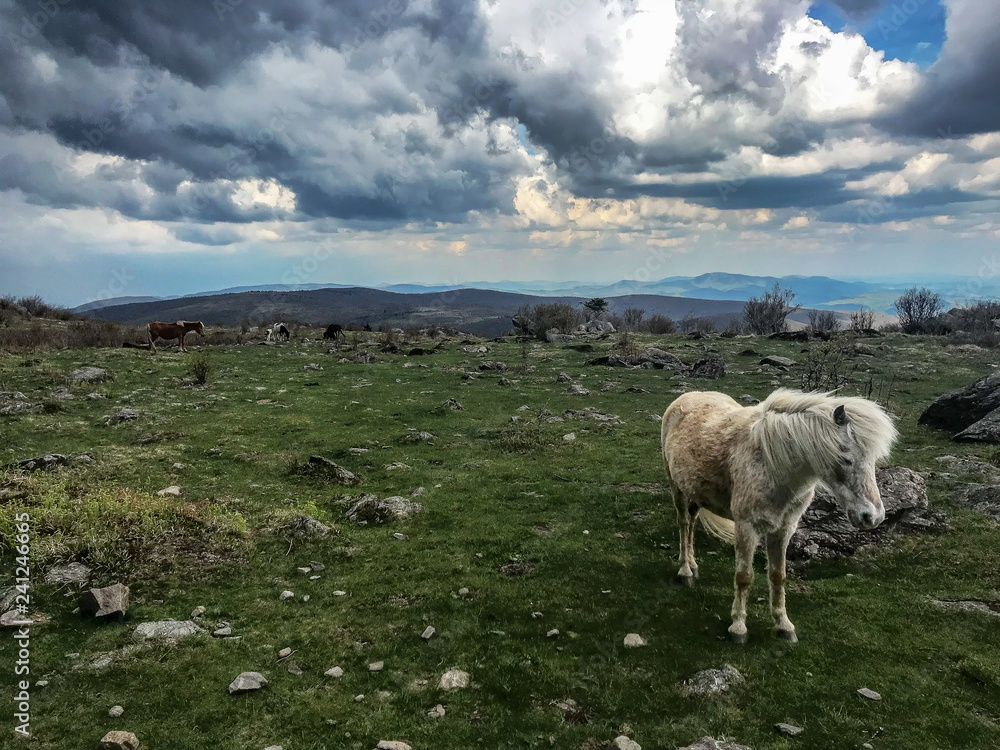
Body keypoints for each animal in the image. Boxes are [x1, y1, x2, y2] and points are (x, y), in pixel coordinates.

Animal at [661, 389, 897, 644]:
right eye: (845, 458)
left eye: (872, 460)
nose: (873, 516)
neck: (771, 465)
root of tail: (689, 396)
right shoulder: (746, 527)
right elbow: (744, 576)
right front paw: (738, 628)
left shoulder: (784, 529)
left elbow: (778, 575)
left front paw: (783, 625)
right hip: (677, 488)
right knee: (684, 523)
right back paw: (685, 571)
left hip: (695, 493)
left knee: (691, 524)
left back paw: (693, 565)